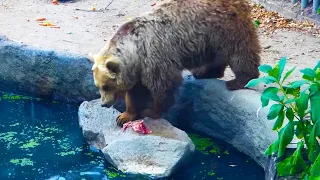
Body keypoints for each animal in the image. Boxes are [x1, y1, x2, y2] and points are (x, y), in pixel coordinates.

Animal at [87, 0, 260, 126]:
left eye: (106, 86)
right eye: (98, 86)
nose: (104, 103)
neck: (135, 49)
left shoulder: (154, 56)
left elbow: (163, 85)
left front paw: (151, 111)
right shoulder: (139, 68)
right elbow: (135, 92)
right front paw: (124, 116)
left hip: (225, 26)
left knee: (239, 50)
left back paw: (239, 80)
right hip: (210, 37)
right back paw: (204, 72)